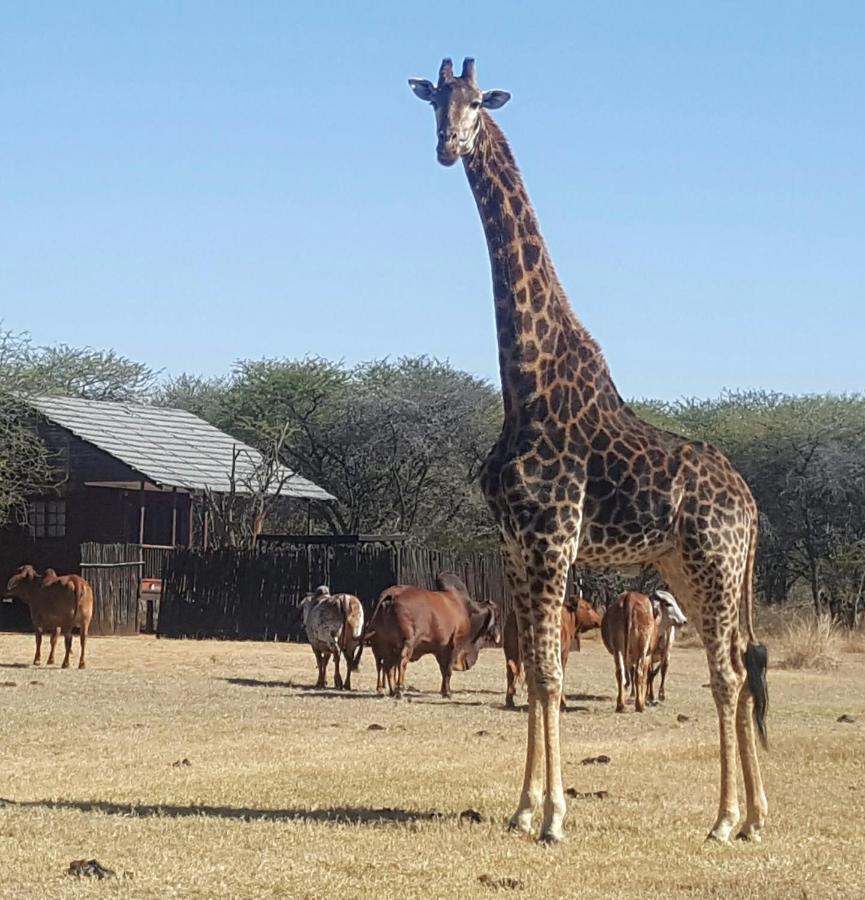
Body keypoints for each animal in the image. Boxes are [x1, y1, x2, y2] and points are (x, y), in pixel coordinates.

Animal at [364, 572, 500, 700]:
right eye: (497, 618)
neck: (466, 607)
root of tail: (392, 593)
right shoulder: (455, 644)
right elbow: (448, 670)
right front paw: (448, 693)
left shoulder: (440, 649)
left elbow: (443, 670)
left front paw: (444, 691)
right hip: (407, 642)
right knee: (400, 662)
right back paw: (399, 690)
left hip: (385, 644)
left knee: (387, 666)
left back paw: (392, 691)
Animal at [408, 59, 768, 848]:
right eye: (433, 103)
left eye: (477, 104)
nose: (447, 147)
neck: (526, 382)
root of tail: (752, 506)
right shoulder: (515, 546)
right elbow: (535, 672)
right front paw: (522, 809)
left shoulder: (550, 539)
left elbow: (548, 674)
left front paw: (553, 819)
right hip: (686, 568)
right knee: (736, 665)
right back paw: (757, 817)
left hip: (715, 565)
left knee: (729, 674)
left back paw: (726, 820)